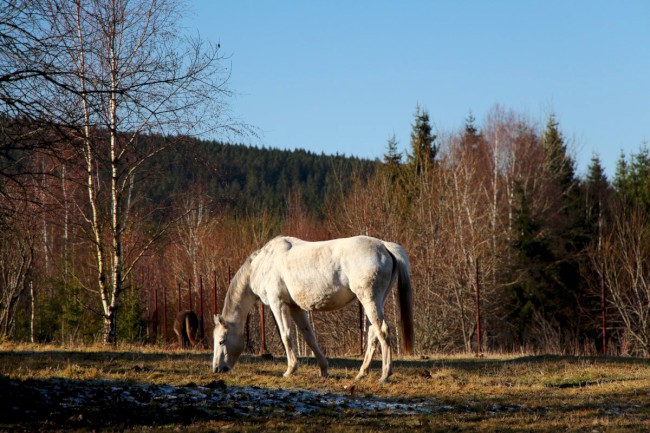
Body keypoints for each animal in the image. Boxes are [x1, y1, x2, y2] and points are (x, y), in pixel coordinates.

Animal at [214, 235, 416, 380]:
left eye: (221, 341)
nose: (216, 369)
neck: (263, 264)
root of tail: (383, 245)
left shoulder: (278, 303)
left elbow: (286, 335)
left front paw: (290, 370)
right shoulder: (295, 308)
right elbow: (309, 336)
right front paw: (323, 370)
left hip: (369, 299)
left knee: (383, 331)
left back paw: (385, 374)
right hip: (374, 301)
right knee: (374, 333)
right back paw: (361, 373)